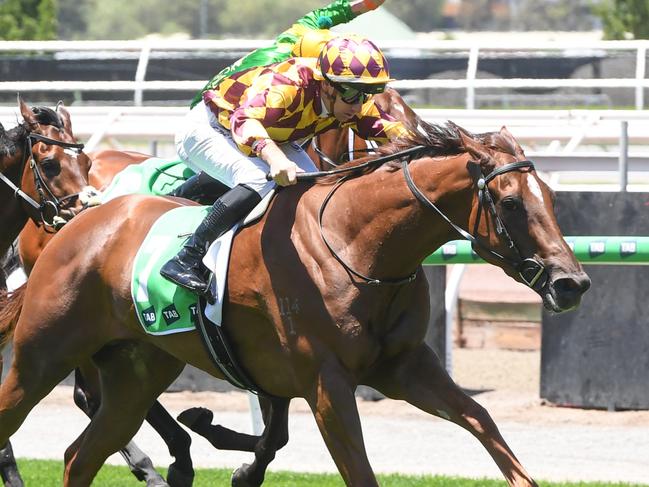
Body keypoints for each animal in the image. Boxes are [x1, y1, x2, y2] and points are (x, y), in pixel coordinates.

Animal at [0, 119, 588, 487]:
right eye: (509, 203)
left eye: (551, 198)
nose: (571, 283)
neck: (355, 243)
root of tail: (78, 220)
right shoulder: (326, 384)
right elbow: (355, 468)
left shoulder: (403, 366)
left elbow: (482, 421)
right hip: (41, 356)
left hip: (138, 373)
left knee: (80, 457)